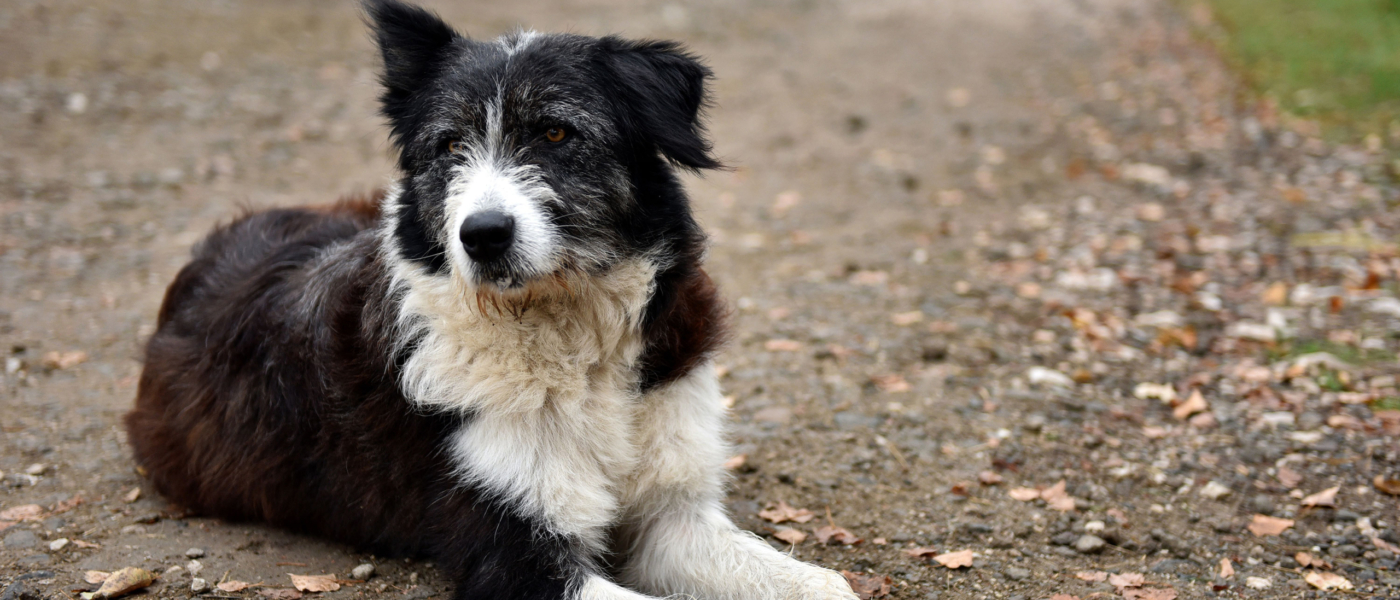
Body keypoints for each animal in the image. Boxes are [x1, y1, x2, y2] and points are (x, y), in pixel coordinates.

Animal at [126, 2, 856, 595]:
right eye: (449, 144)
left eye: (556, 133)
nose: (481, 236)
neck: (567, 335)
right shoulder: (516, 558)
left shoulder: (673, 517)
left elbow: (826, 585)